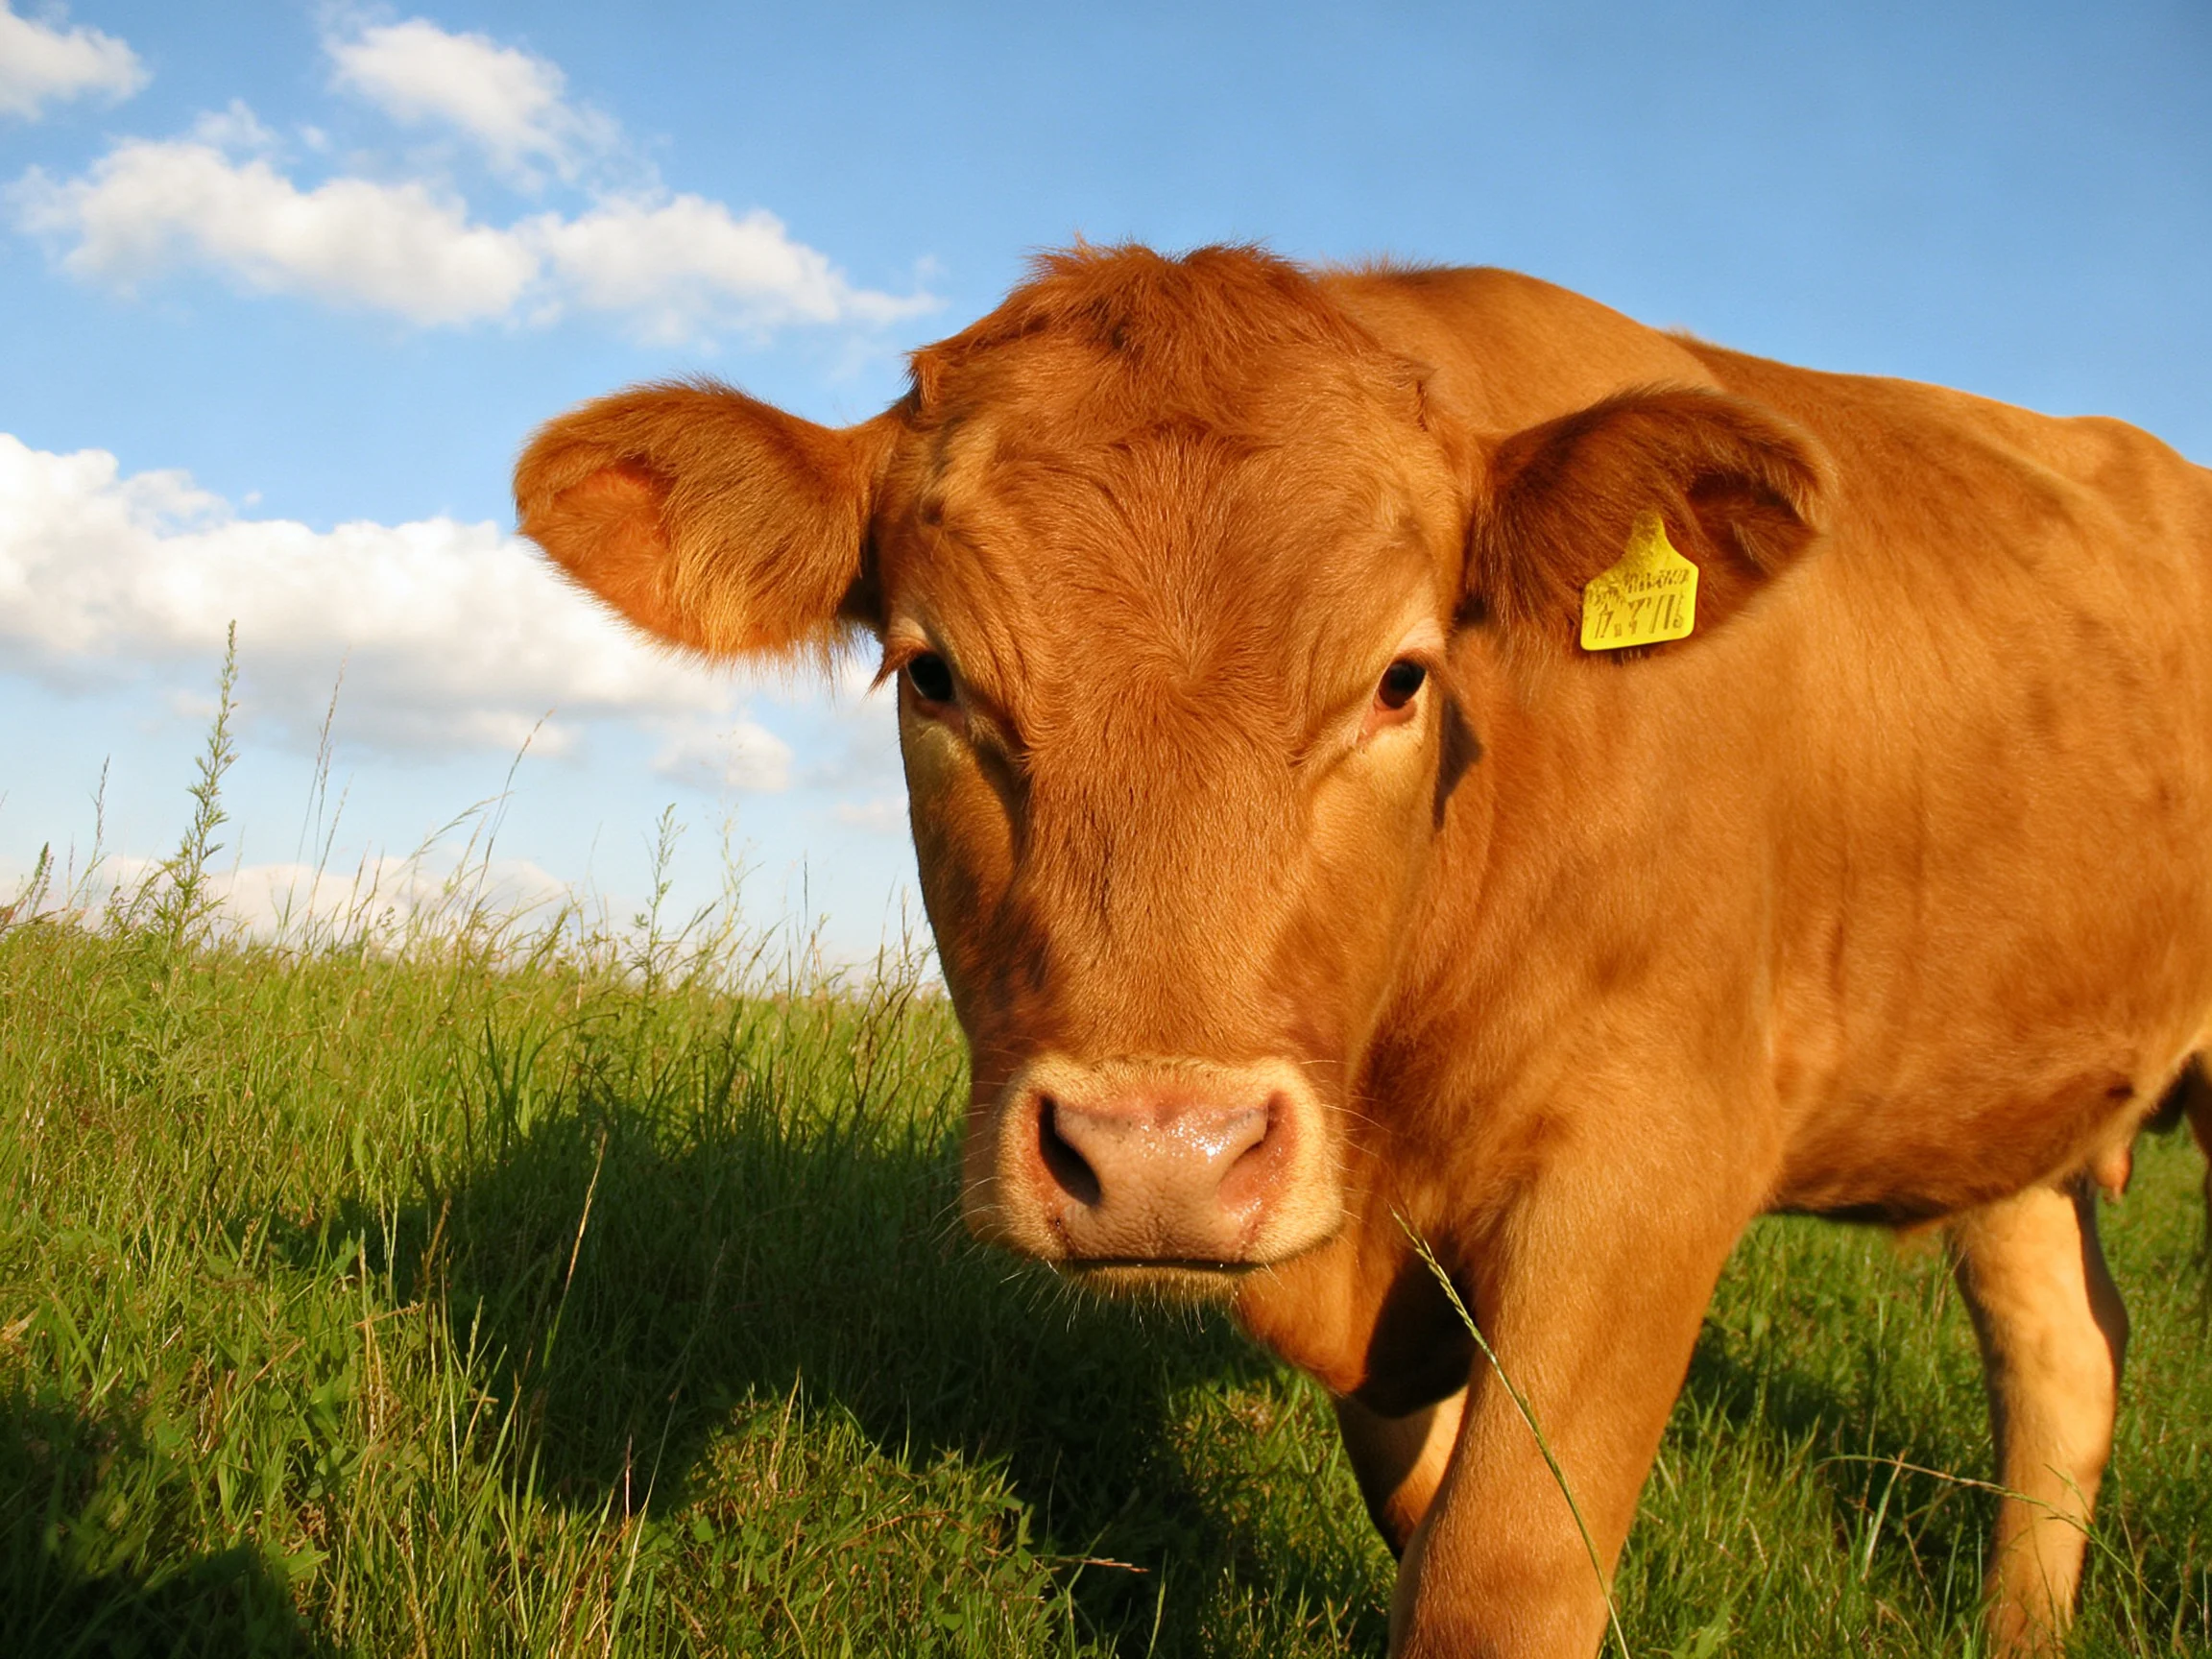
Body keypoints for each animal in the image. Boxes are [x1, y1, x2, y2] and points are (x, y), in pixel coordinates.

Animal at [515, 244, 2212, 1657]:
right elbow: (1420, 1508)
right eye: (932, 674)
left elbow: (1500, 1577)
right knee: (2063, 1351)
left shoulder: (1646, 1170)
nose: (1161, 1156)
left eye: (1403, 674)